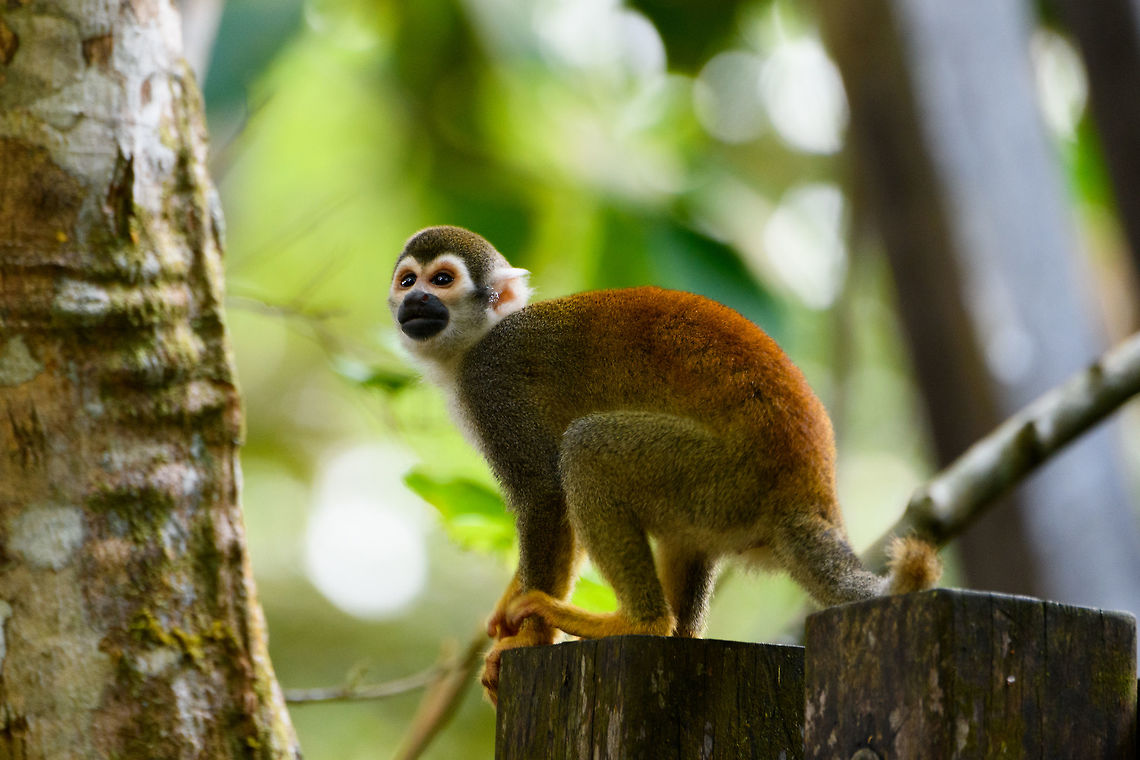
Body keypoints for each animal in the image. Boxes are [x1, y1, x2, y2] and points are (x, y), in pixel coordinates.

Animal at [388, 225, 941, 703]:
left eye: (442, 280)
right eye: (408, 281)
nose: (415, 301)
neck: (478, 340)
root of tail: (811, 496)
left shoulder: (492, 383)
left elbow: (544, 493)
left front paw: (528, 640)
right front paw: (509, 605)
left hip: (725, 476)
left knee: (586, 450)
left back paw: (639, 622)